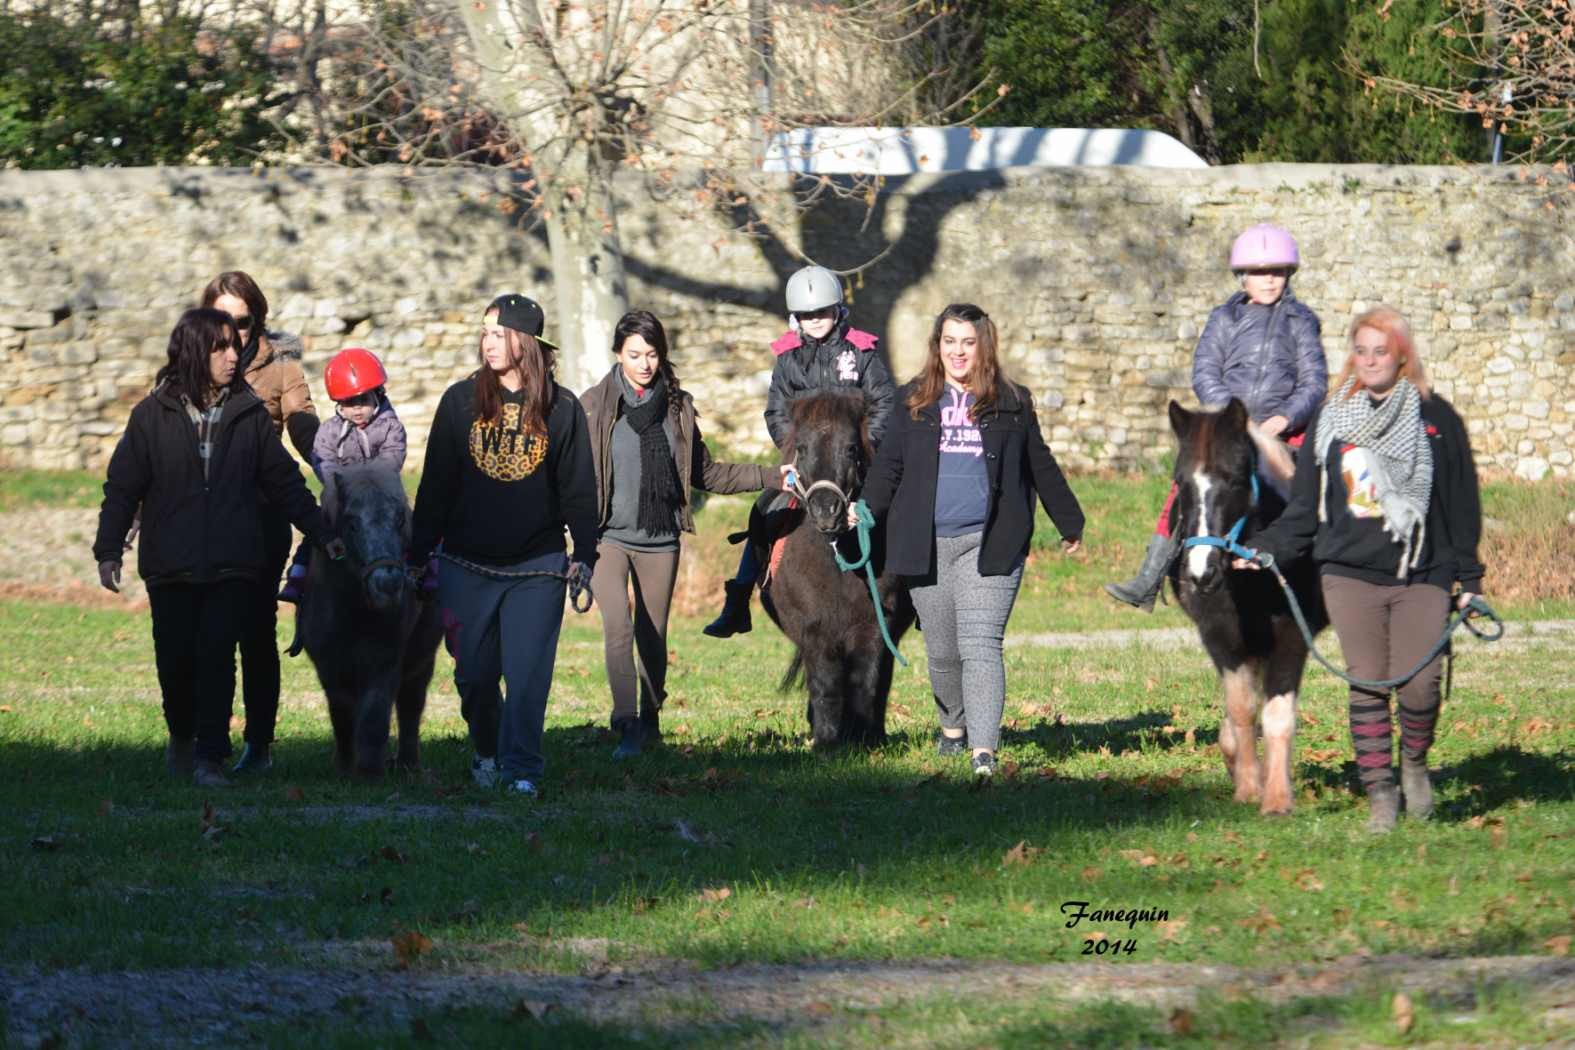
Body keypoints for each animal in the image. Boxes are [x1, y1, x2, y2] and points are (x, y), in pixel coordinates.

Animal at [294, 462, 444, 777]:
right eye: (351, 523)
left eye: (400, 520)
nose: (388, 584)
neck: (353, 612)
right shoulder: (329, 667)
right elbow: (341, 713)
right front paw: (344, 765)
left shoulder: (384, 662)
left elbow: (375, 714)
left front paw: (369, 771)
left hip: (421, 661)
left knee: (411, 706)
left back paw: (408, 763)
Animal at [759, 391, 919, 746]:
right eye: (802, 448)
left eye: (850, 448)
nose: (825, 511)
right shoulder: (816, 631)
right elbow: (826, 685)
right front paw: (827, 741)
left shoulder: (873, 627)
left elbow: (867, 682)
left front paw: (863, 739)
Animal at [1171, 398, 1329, 818]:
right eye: (1181, 483)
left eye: (1234, 480)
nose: (1200, 573)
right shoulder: (1220, 635)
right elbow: (1242, 709)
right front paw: (1246, 786)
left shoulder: (1292, 635)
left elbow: (1277, 715)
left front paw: (1275, 798)